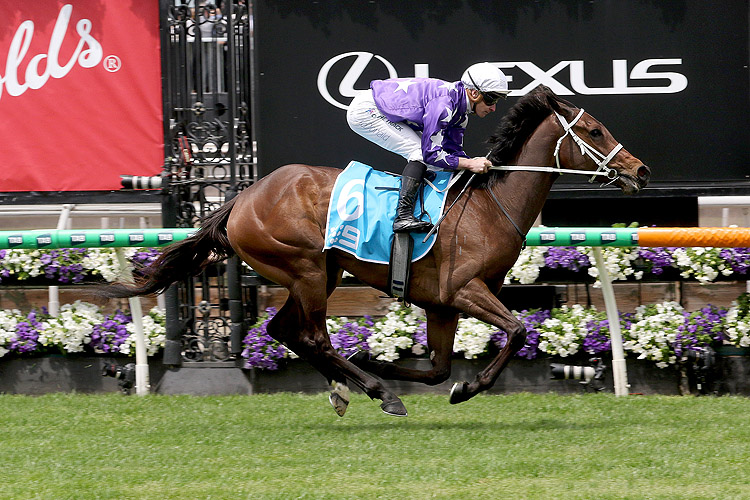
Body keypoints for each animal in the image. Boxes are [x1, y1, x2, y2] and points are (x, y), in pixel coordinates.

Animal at [101, 87, 652, 418]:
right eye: (595, 131)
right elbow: (516, 331)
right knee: (311, 337)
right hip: (304, 268)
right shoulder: (464, 290)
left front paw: (387, 363)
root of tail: (242, 195)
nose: (640, 170)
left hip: (316, 273)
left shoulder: (442, 304)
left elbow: (439, 368)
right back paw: (378, 393)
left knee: (285, 332)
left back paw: (351, 385)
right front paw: (465, 388)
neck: (488, 207)